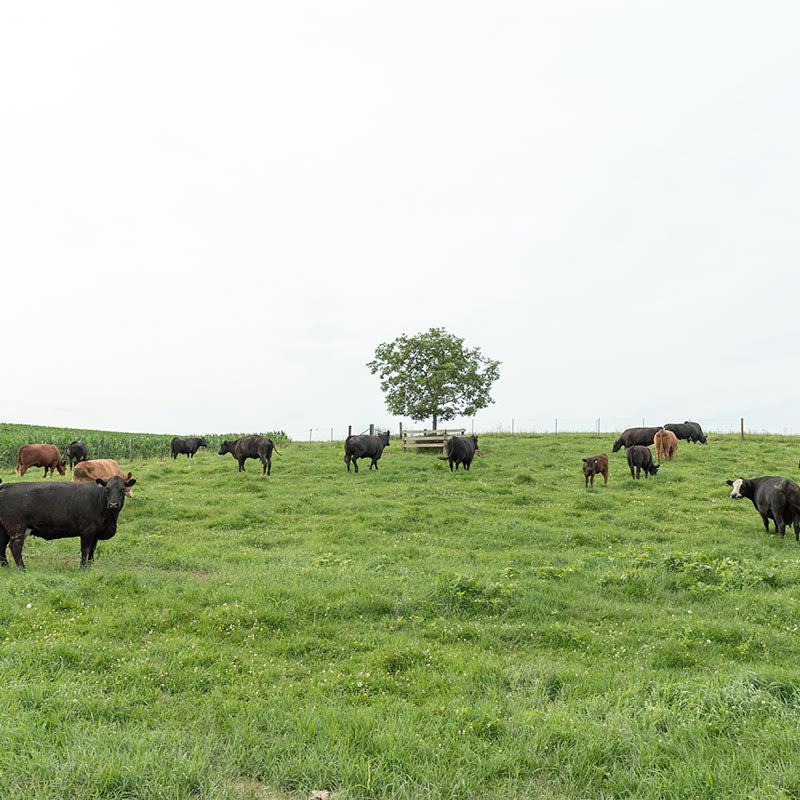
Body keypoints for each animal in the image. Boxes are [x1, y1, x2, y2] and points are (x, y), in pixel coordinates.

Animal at [0, 476, 136, 568]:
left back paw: (5, 566)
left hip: (4, 528)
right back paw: (22, 568)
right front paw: (83, 567)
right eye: (107, 489)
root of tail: (6, 485)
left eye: (122, 489)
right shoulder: (87, 530)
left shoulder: (96, 533)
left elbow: (92, 550)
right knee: (15, 547)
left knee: (2, 545)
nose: (113, 504)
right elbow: (85, 549)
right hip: (16, 528)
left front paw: (91, 566)